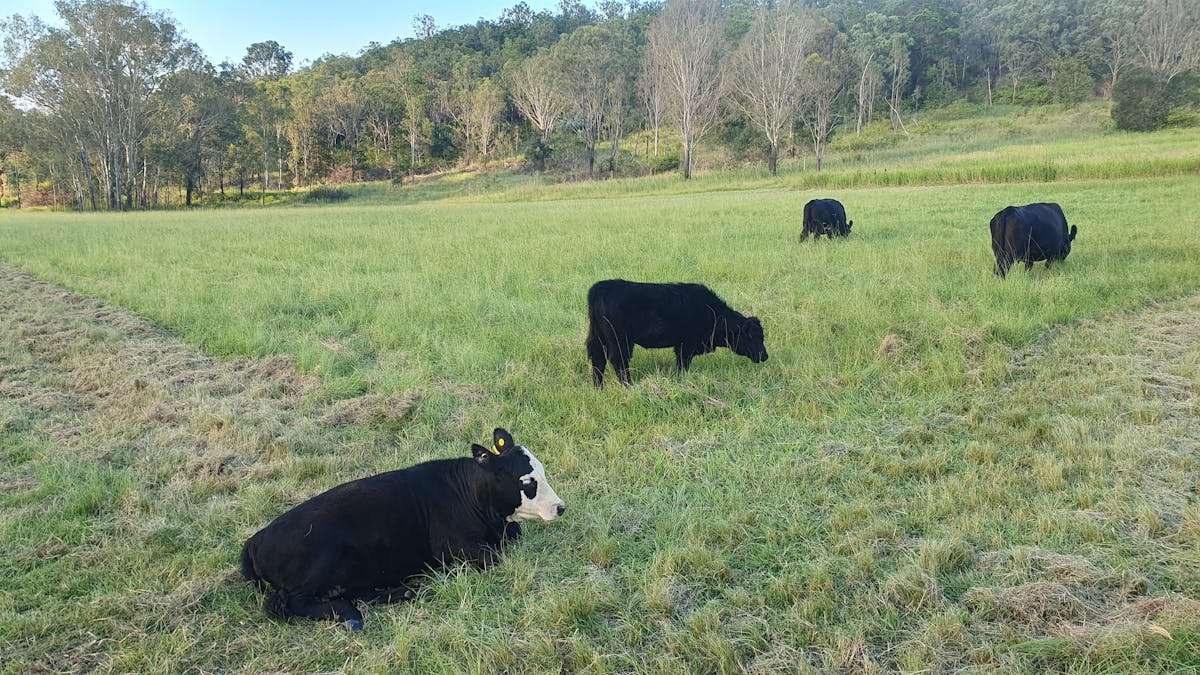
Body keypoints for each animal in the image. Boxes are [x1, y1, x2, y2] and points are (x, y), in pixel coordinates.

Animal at [240, 428, 565, 630]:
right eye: (527, 482)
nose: (560, 507)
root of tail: (255, 539)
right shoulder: (456, 548)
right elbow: (497, 557)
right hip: (322, 554)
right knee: (290, 602)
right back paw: (350, 615)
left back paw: (405, 592)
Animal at [585, 279, 768, 387]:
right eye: (754, 337)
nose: (765, 356)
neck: (713, 314)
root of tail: (599, 288)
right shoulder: (685, 347)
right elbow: (683, 366)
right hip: (620, 341)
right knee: (619, 362)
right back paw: (628, 385)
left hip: (599, 338)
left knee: (598, 360)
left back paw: (598, 387)